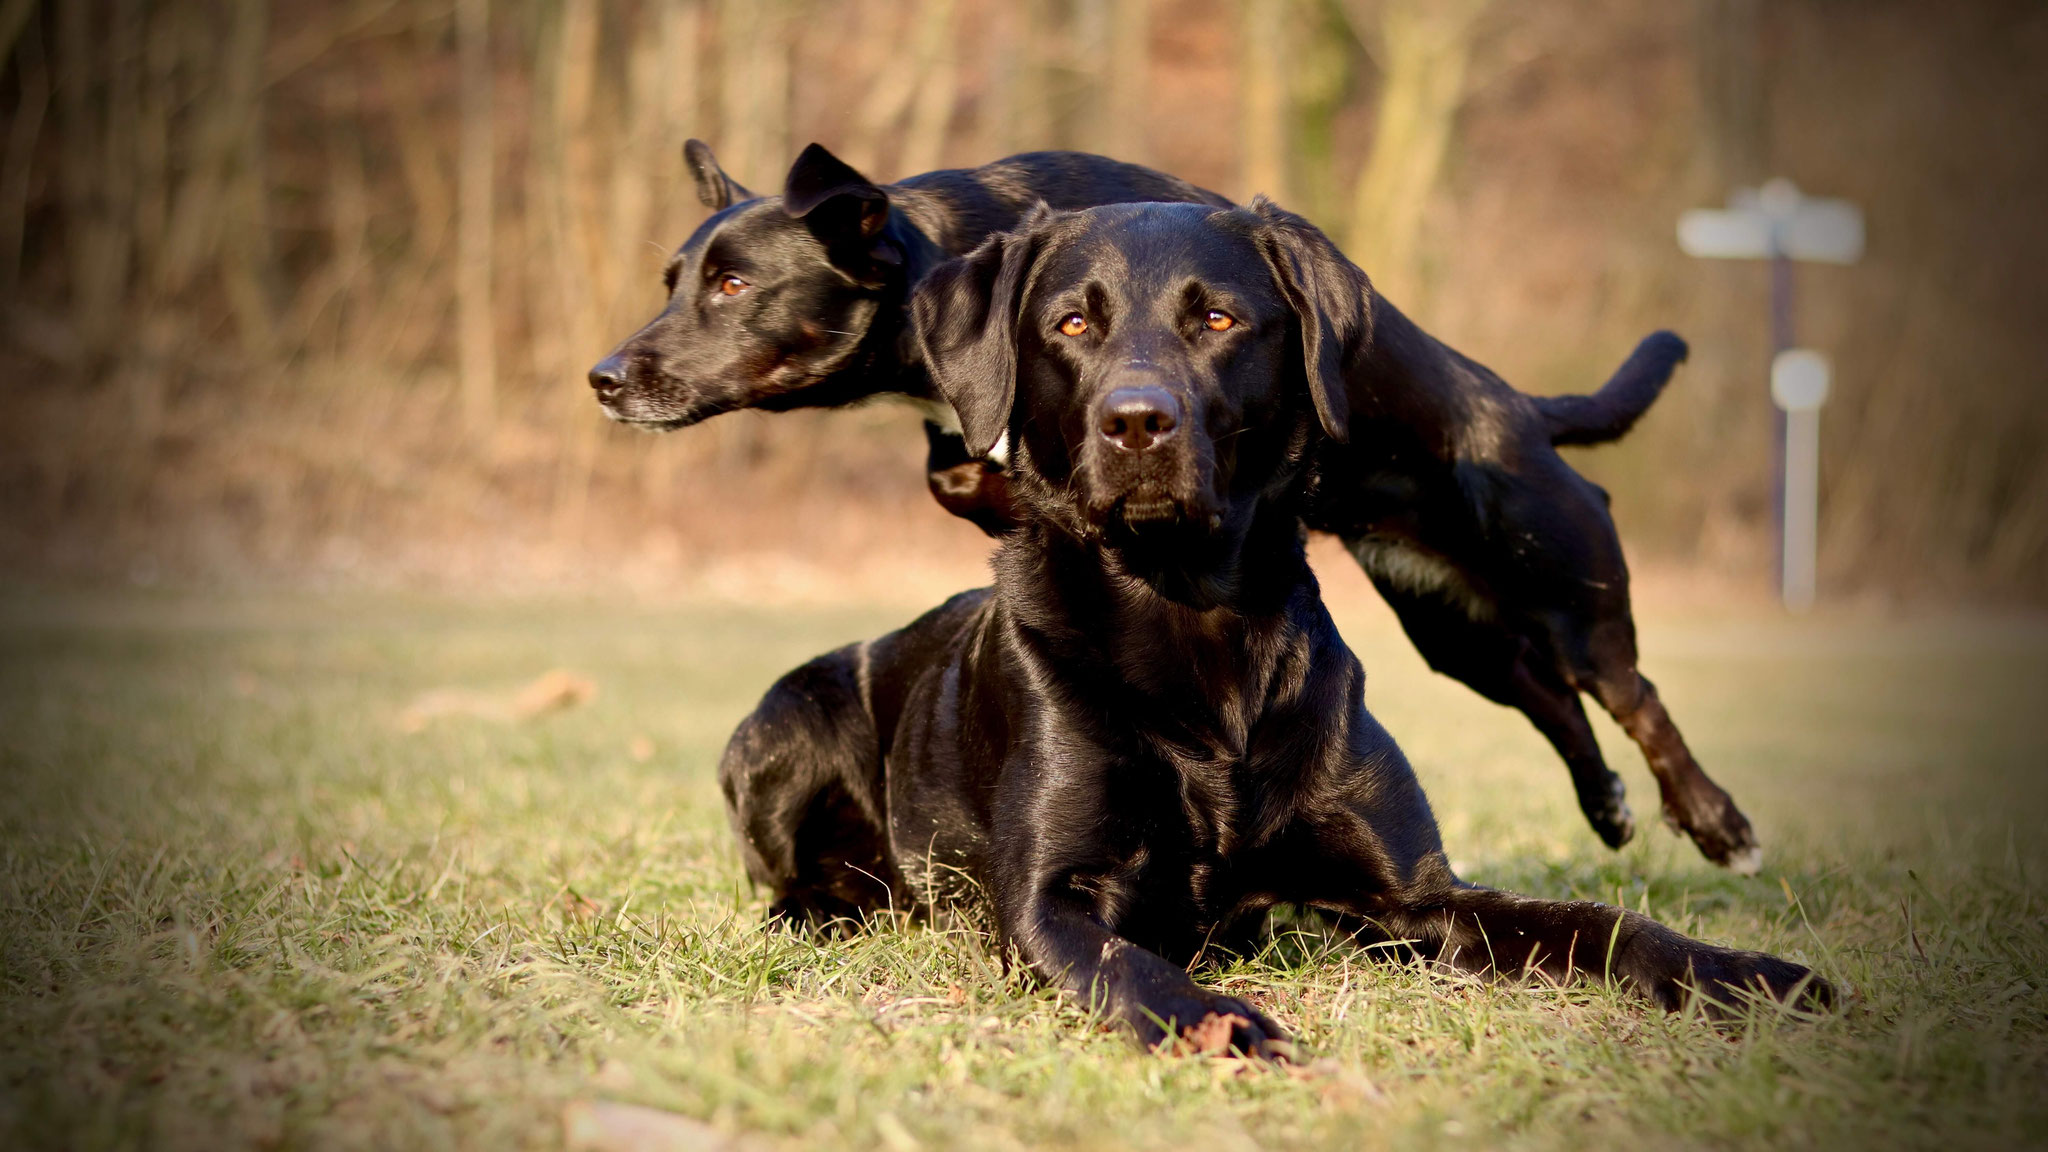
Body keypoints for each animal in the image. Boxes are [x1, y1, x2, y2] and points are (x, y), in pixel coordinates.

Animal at [593, 139, 1761, 865]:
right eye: (673, 281)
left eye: (735, 286)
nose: (603, 377)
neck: (945, 246)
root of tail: (1520, 406)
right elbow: (971, 471)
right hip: (1453, 631)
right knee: (1553, 701)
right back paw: (1608, 805)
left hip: (1561, 574)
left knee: (1630, 691)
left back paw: (1713, 819)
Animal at [716, 201, 1826, 1057]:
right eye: (1071, 324)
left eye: (1216, 317)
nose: (1136, 422)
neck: (1189, 615)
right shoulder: (1048, 901)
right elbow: (1137, 971)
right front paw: (1226, 1024)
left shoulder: (1419, 895)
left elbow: (1605, 926)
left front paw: (1750, 974)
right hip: (785, 722)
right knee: (788, 873)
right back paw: (832, 908)